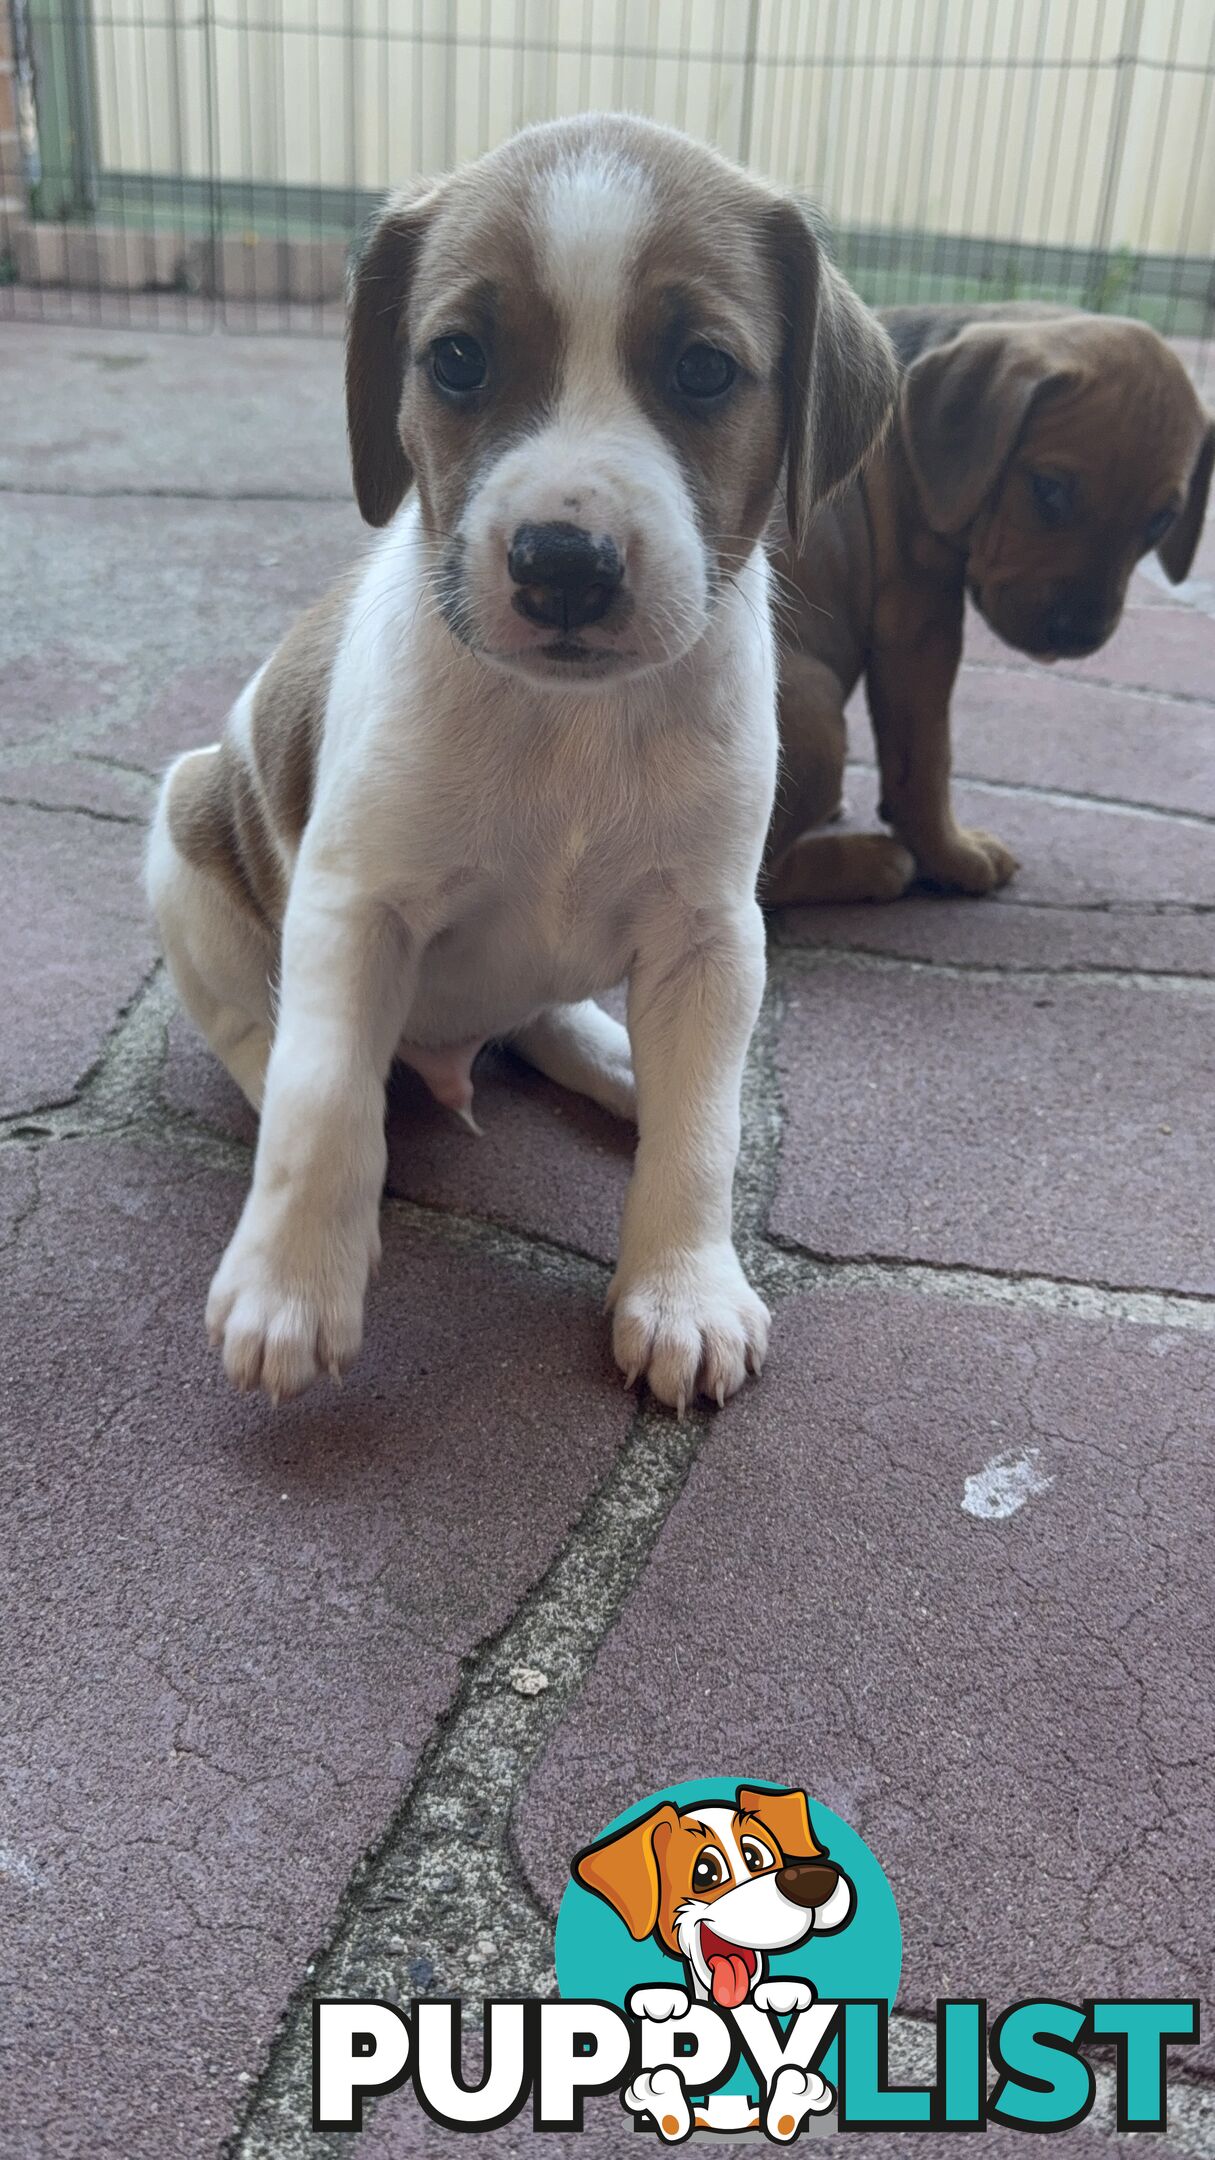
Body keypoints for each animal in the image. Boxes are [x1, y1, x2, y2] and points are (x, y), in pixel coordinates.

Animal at [147, 113, 895, 1399]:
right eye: (455, 360)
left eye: (704, 369)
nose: (564, 564)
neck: (568, 726)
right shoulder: (354, 906)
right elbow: (320, 1095)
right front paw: (292, 1284)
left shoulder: (710, 934)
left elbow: (699, 1136)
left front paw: (683, 1288)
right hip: (187, 831)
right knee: (258, 1036)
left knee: (554, 1023)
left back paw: (623, 1061)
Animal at [760, 304, 1202, 902]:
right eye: (1048, 489)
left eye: (1162, 521)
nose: (1079, 634)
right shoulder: (923, 629)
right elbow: (925, 761)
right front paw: (953, 856)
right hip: (815, 703)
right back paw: (873, 863)